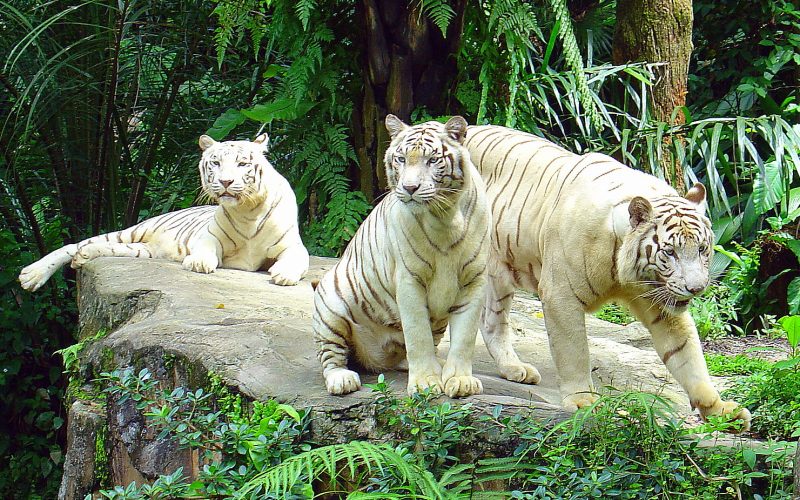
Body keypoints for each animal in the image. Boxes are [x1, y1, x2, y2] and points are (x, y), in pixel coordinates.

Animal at [16, 133, 310, 292]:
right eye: (216, 163)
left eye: (242, 164)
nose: (225, 182)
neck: (247, 211)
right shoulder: (209, 237)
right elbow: (205, 250)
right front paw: (199, 263)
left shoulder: (293, 245)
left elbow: (298, 259)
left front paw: (284, 275)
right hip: (131, 232)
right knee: (74, 245)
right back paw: (32, 275)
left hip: (142, 249)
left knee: (100, 249)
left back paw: (84, 257)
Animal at [310, 114, 488, 398]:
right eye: (401, 159)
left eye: (432, 160)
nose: (410, 187)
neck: (444, 217)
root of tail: (377, 360)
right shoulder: (409, 280)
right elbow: (417, 335)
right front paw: (426, 382)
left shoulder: (474, 281)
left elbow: (465, 337)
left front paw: (460, 380)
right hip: (330, 305)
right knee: (331, 357)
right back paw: (342, 379)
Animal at [462, 124, 752, 430]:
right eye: (670, 251)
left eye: (702, 249)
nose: (696, 288)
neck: (625, 272)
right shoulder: (560, 295)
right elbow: (574, 351)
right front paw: (583, 402)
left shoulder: (662, 304)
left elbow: (688, 356)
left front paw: (721, 410)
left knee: (491, 320)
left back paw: (514, 368)